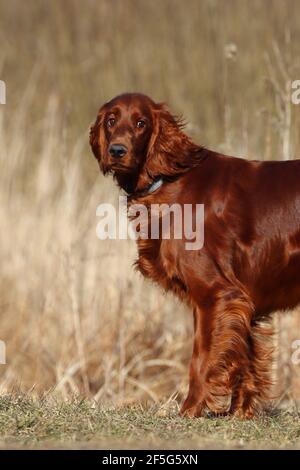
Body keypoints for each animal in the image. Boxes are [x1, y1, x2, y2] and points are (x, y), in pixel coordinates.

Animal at [89, 93, 300, 416]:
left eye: (141, 123)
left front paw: (190, 410)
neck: (169, 180)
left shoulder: (216, 295)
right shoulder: (242, 302)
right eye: (111, 120)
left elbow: (202, 359)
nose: (117, 151)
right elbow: (244, 361)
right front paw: (239, 415)